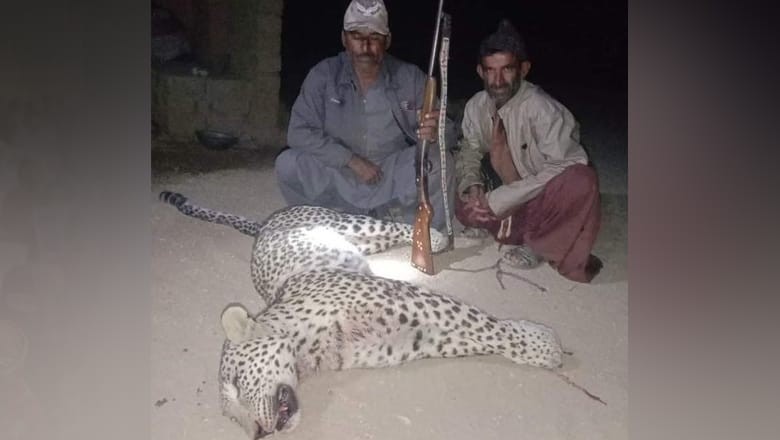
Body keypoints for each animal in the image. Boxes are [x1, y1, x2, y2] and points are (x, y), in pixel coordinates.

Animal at [158, 191, 564, 439]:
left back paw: (438, 236)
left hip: (350, 224)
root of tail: (265, 224)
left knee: (392, 225)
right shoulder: (413, 336)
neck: (307, 352)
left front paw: (542, 345)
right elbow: (470, 336)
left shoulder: (407, 299)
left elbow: (487, 326)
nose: (258, 433)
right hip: (359, 241)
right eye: (231, 418)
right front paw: (537, 344)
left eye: (238, 383)